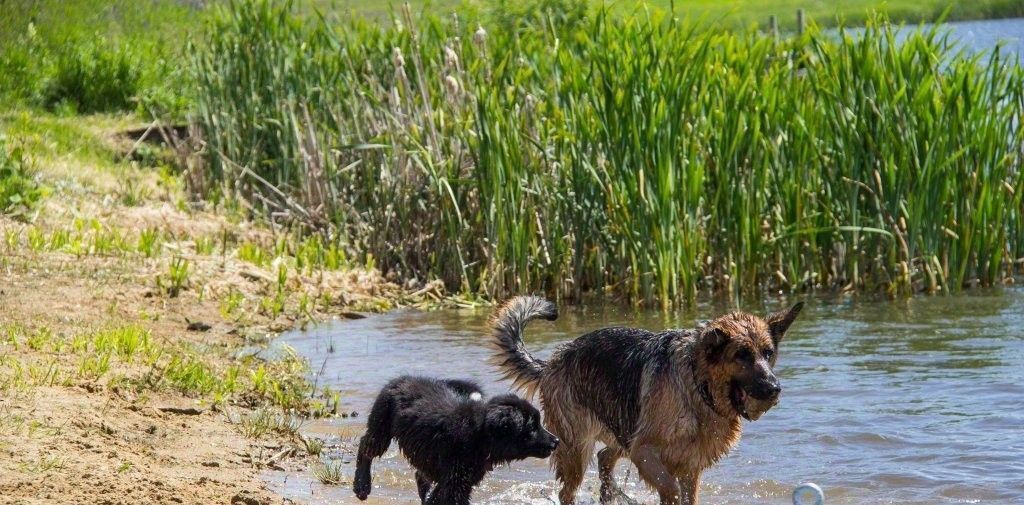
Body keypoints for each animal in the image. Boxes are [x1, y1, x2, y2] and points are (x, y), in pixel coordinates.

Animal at [352, 374, 561, 503]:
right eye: (532, 427)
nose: (556, 441)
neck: (480, 437)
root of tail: (402, 379)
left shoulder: (458, 480)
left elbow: (435, 498)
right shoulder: (455, 482)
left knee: (421, 476)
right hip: (380, 424)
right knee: (365, 447)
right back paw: (362, 485)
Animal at [487, 295, 798, 503]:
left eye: (768, 354)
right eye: (741, 356)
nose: (774, 388)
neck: (697, 386)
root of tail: (551, 361)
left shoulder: (690, 468)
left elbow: (686, 494)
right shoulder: (644, 452)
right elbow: (671, 489)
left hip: (622, 430)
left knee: (604, 458)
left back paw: (610, 494)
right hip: (577, 449)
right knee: (568, 490)